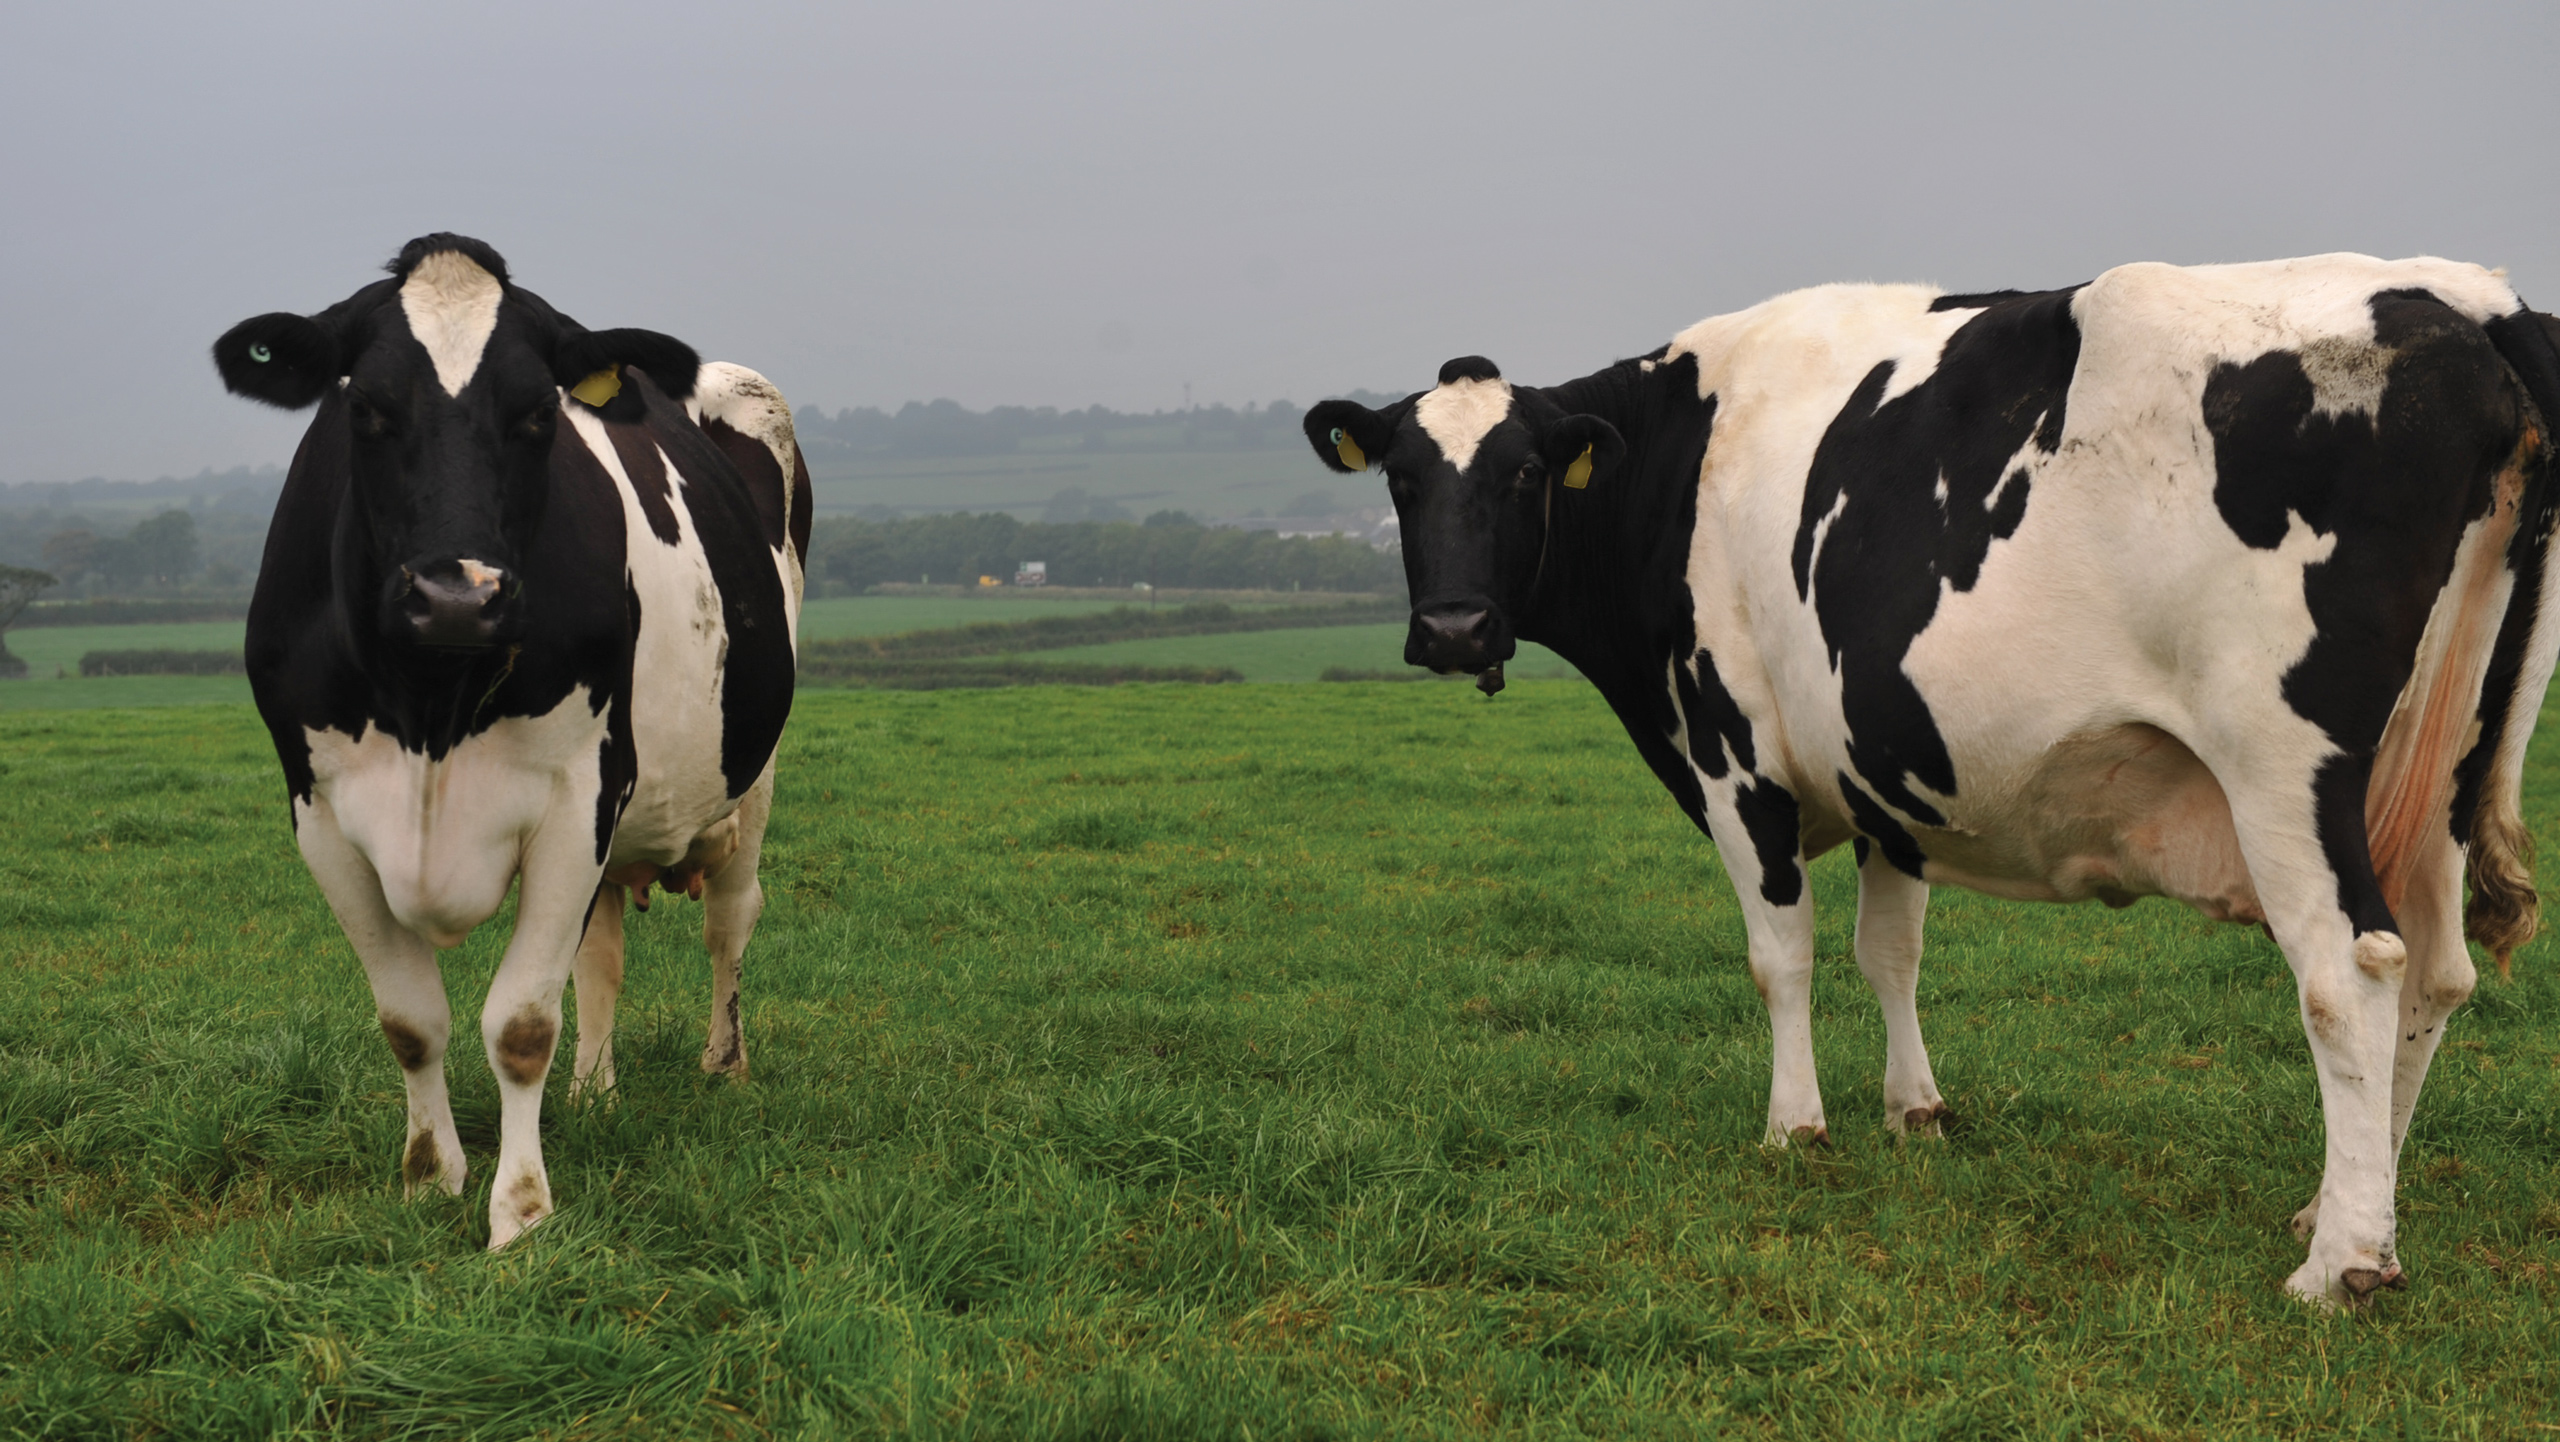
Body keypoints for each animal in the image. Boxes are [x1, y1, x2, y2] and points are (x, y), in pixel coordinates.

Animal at [213, 233, 812, 1248]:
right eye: (364, 407)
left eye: (539, 413)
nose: (459, 594)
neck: (432, 708)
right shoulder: (320, 815)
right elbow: (411, 1018)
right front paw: (430, 1179)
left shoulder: (578, 796)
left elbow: (522, 1023)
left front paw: (520, 1215)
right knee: (603, 949)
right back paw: (595, 1091)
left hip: (749, 774)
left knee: (732, 917)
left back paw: (723, 1066)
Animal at [1301, 254, 2560, 1308]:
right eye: (1401, 482)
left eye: (1524, 475)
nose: (1454, 628)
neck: (1686, 450)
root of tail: (2467, 299)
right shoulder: (1884, 773)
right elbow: (1889, 951)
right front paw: (1915, 1110)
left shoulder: (1733, 752)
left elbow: (1782, 953)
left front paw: (1795, 1127)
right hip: (2451, 761)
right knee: (2434, 973)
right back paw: (2350, 1207)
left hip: (2284, 765)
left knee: (2350, 971)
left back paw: (2339, 1262)